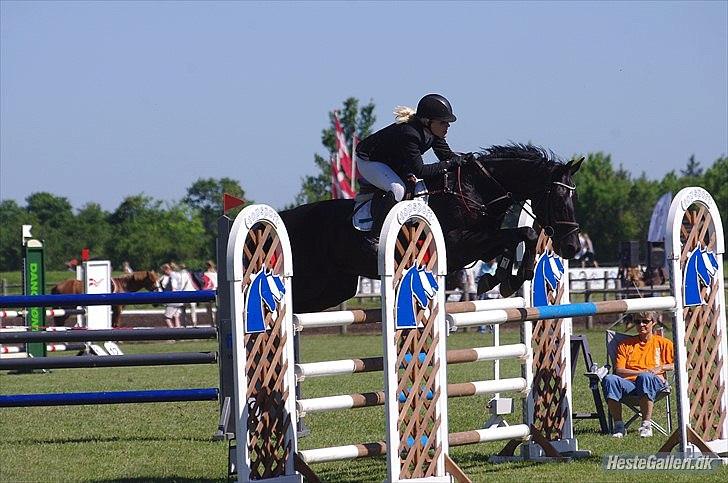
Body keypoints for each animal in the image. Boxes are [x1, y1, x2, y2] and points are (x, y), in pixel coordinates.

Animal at [278, 143, 580, 314]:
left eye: (573, 198)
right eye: (558, 199)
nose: (572, 247)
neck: (475, 189)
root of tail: (287, 217)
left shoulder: (481, 243)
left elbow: (514, 239)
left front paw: (502, 279)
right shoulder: (459, 246)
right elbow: (525, 234)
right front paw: (518, 275)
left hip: (333, 288)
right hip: (312, 281)